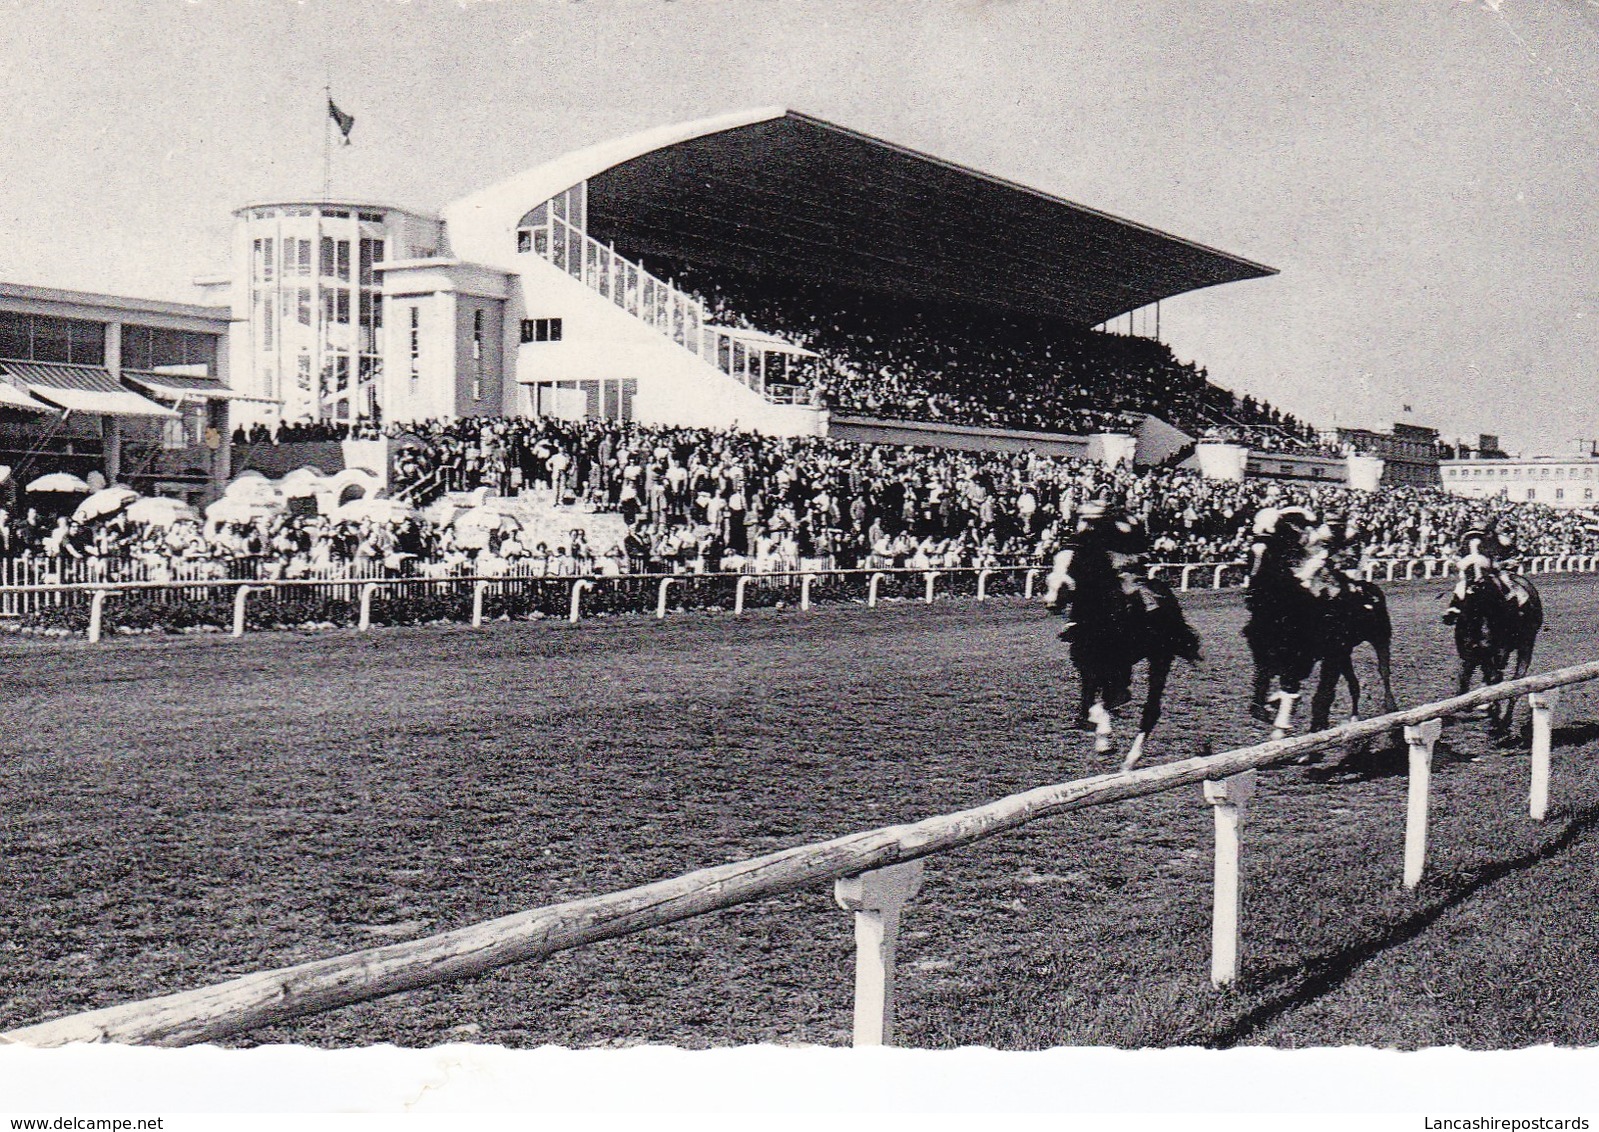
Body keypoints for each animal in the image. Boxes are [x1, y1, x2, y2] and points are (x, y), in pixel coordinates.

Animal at [1048, 534, 1202, 773]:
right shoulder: (1088, 669)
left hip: (1160, 657)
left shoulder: (1116, 668)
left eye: (1076, 564)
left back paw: (1131, 759)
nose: (1052, 600)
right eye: (1054, 562)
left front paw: (1104, 740)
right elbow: (1086, 710)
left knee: (1150, 709)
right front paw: (1101, 738)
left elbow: (1113, 700)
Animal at [1451, 562, 1535, 738]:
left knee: (1515, 682)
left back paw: (1502, 721)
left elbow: (1498, 683)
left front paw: (1498, 720)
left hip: (1523, 647)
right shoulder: (1476, 655)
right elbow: (1470, 676)